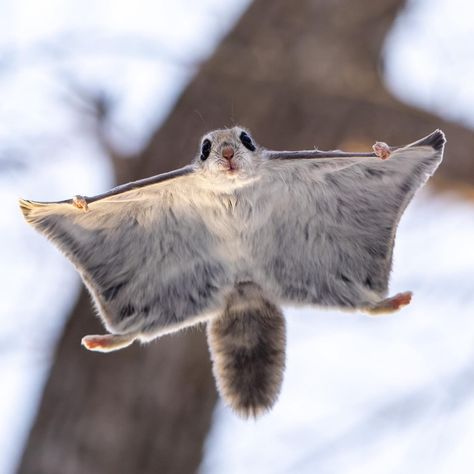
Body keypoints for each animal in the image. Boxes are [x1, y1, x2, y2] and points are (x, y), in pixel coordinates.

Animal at [19, 127, 444, 418]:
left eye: (246, 139)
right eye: (205, 147)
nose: (225, 152)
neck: (232, 192)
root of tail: (245, 291)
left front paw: (382, 151)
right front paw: (79, 203)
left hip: (329, 276)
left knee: (362, 304)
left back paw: (388, 302)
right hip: (163, 299)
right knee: (137, 331)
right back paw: (107, 340)